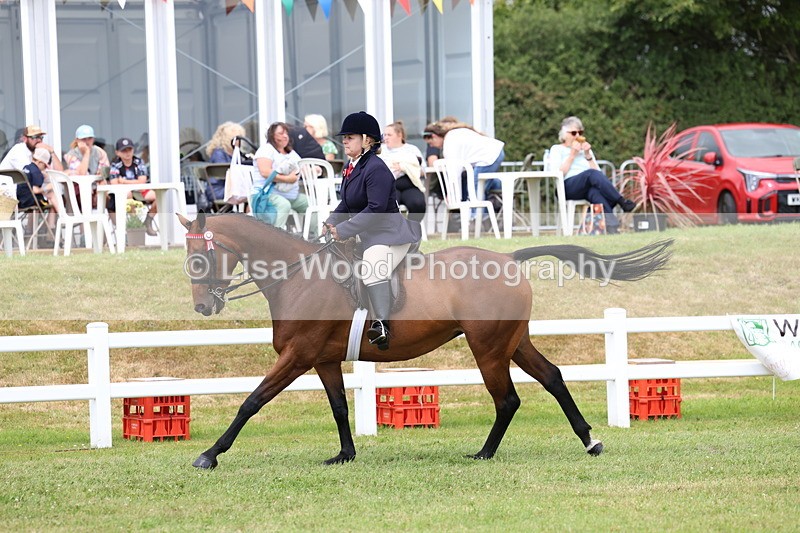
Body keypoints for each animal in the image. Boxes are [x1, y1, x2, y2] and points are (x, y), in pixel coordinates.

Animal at [178, 212, 673, 469]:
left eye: (200, 255)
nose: (203, 307)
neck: (298, 276)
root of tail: (508, 258)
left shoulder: (297, 356)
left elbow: (251, 401)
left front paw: (209, 455)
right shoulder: (322, 360)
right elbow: (339, 408)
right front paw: (345, 454)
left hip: (488, 347)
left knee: (507, 399)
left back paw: (484, 453)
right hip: (513, 342)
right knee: (551, 377)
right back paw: (589, 440)